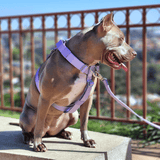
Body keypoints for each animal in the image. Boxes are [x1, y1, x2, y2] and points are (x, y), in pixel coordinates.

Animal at [18, 13, 136, 152]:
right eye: (121, 38)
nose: (135, 53)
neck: (82, 64)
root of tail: (47, 132)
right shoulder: (45, 99)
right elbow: (40, 123)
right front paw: (38, 144)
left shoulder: (88, 98)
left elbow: (84, 122)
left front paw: (87, 140)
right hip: (30, 115)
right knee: (30, 128)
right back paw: (29, 137)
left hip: (73, 114)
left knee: (58, 130)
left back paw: (65, 133)